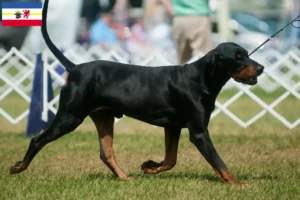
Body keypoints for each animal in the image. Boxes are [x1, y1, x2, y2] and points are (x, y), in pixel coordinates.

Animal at [8, 0, 262, 184]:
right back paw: (19, 166)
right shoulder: (198, 132)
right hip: (70, 117)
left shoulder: (173, 127)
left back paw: (124, 178)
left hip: (103, 116)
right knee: (37, 140)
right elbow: (218, 161)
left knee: (106, 153)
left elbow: (171, 159)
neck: (201, 77)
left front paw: (150, 167)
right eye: (237, 58)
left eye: (247, 53)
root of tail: (75, 67)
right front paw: (236, 183)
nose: (260, 67)